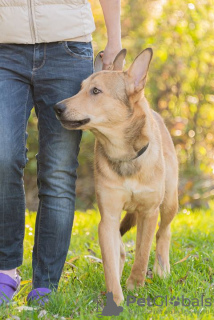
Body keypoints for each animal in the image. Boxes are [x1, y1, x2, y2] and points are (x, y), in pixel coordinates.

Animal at [54, 48, 179, 306]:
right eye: (80, 88)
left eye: (95, 91)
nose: (57, 107)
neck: (124, 155)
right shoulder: (108, 217)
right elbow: (110, 261)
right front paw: (116, 298)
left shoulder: (149, 212)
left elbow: (141, 255)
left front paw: (135, 286)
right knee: (120, 248)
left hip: (170, 200)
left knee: (164, 232)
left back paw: (162, 269)